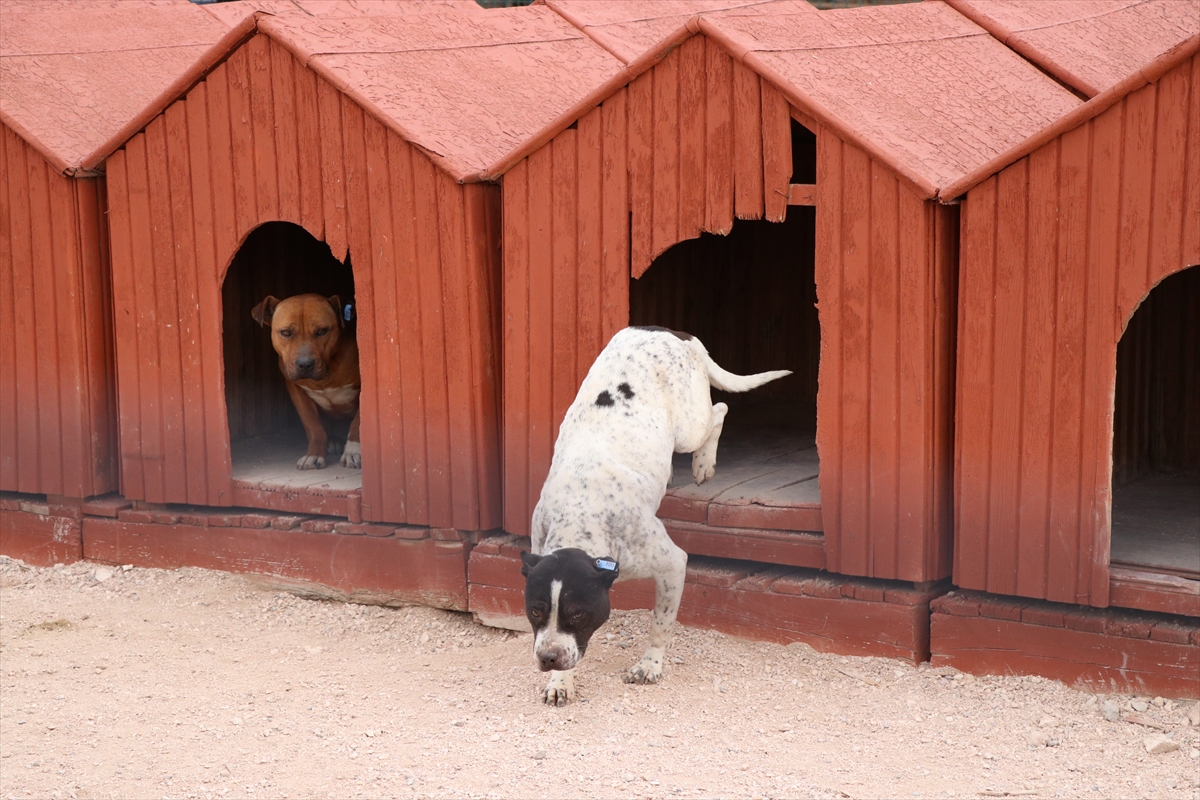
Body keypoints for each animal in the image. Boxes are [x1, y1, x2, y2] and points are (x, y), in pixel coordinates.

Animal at [252, 293, 360, 470]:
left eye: (322, 331)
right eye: (286, 332)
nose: (304, 364)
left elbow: (357, 422)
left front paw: (353, 451)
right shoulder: (296, 390)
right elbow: (313, 426)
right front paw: (314, 454)